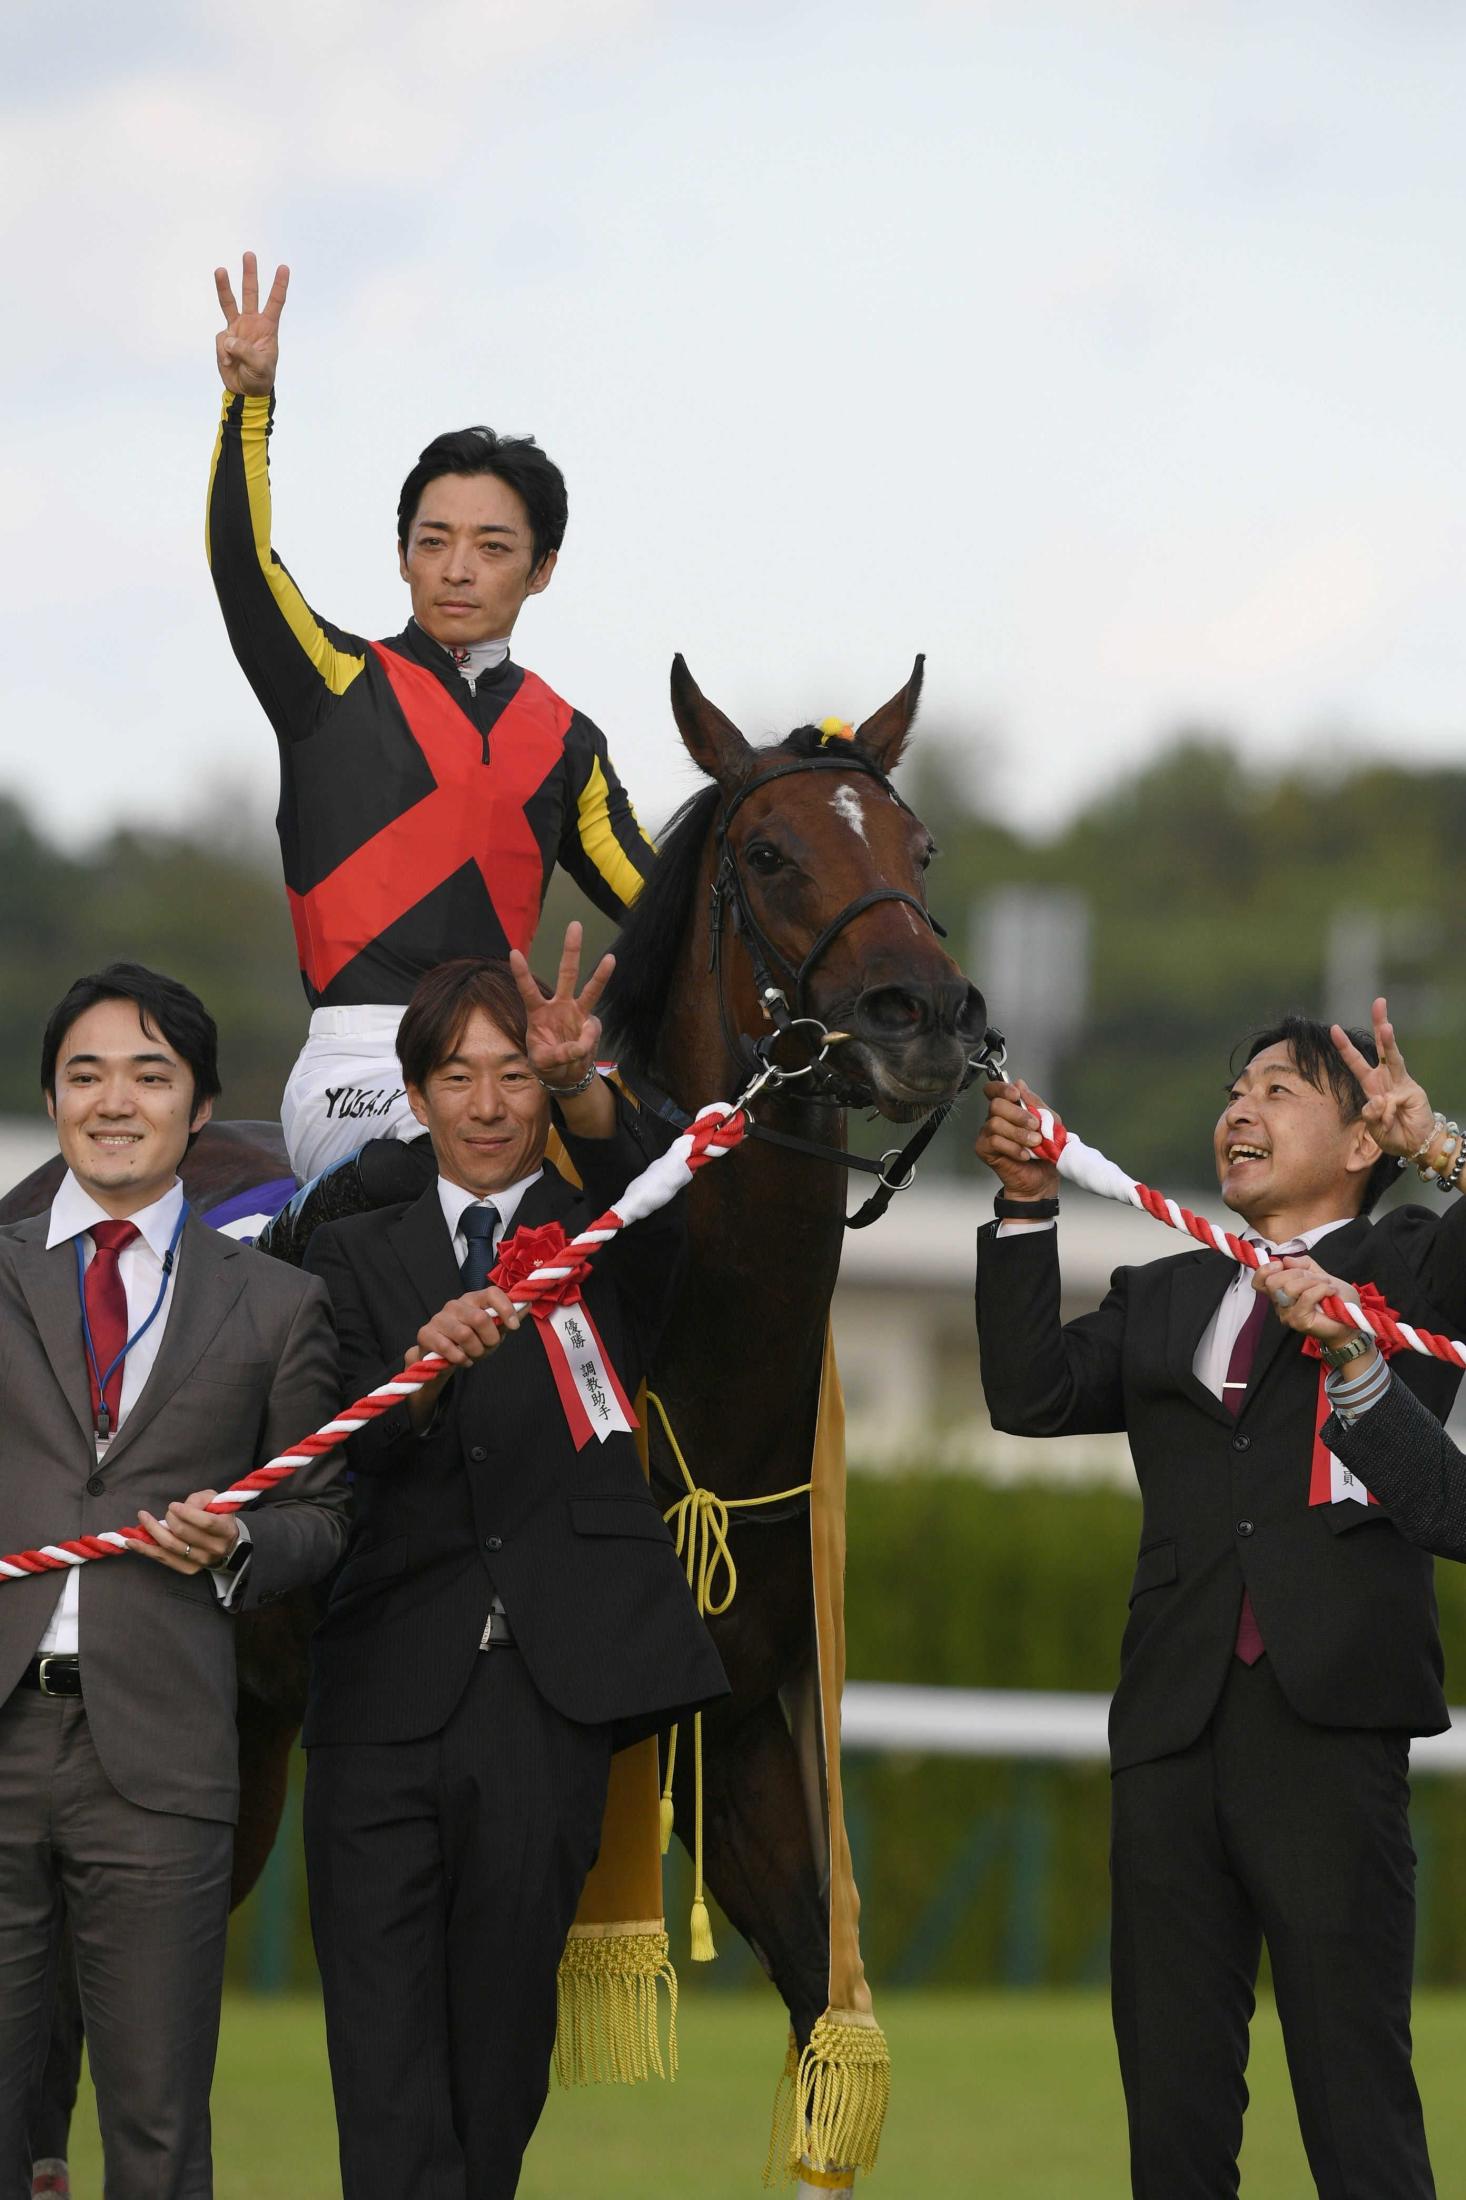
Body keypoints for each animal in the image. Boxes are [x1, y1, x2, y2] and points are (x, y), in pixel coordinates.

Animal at [8, 655, 981, 2200]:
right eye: (771, 853)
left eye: (919, 847)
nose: (925, 1013)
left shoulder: (742, 1724)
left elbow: (825, 2033)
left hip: (244, 1740)